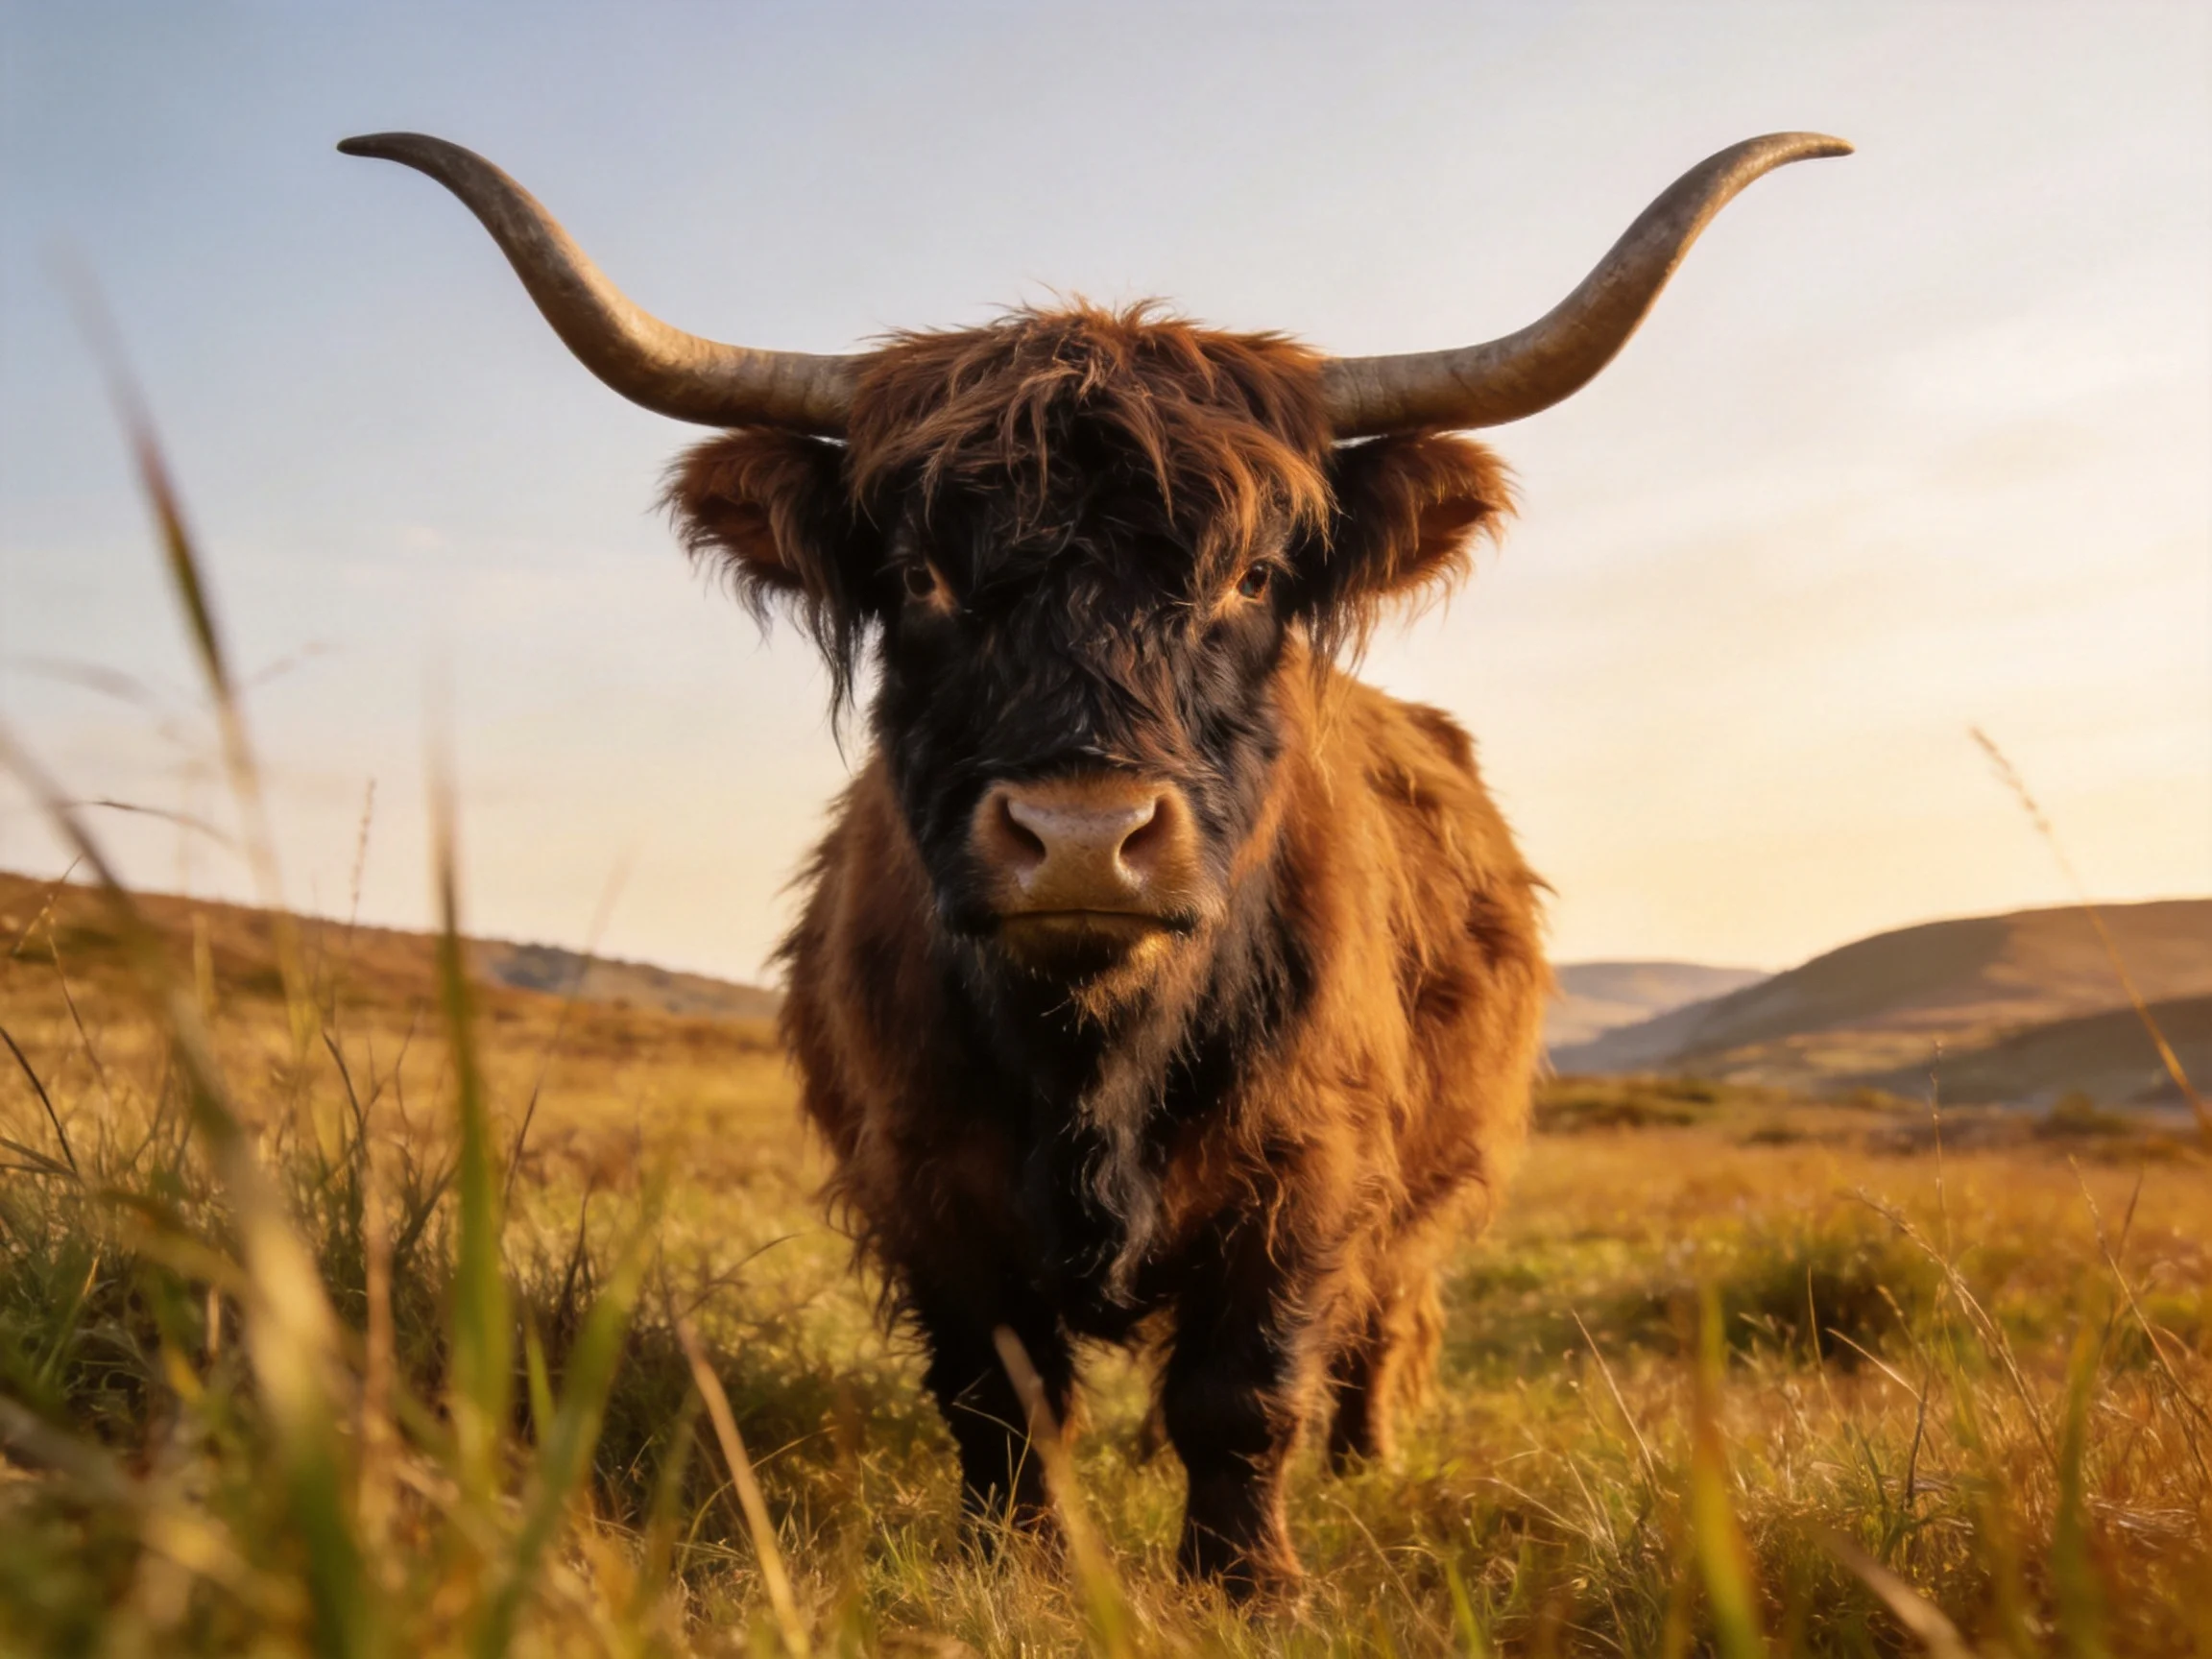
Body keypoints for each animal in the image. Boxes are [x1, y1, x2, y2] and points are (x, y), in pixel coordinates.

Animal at [342, 129, 1847, 1595]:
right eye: (923, 576)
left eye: (1251, 578)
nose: (1080, 838)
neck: (1092, 1053)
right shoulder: (923, 1170)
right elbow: (1001, 1393)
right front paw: (1012, 1562)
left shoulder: (1307, 1162)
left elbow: (1245, 1387)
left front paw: (1247, 1580)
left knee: (1390, 1311)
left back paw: (1367, 1460)